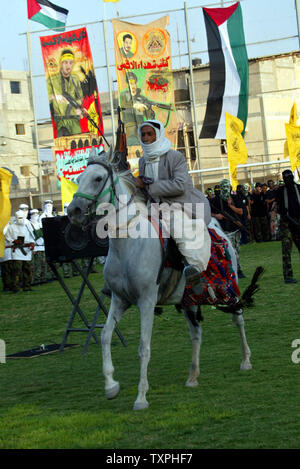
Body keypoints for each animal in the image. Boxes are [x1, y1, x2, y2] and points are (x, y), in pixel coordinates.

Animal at [68, 148, 260, 408]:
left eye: (98, 178)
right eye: (79, 178)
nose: (73, 211)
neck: (129, 245)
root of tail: (220, 232)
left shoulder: (146, 302)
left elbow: (144, 347)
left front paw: (141, 397)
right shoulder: (119, 300)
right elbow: (105, 335)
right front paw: (111, 386)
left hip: (230, 290)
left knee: (238, 320)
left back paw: (245, 360)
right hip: (189, 301)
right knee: (196, 334)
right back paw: (192, 376)